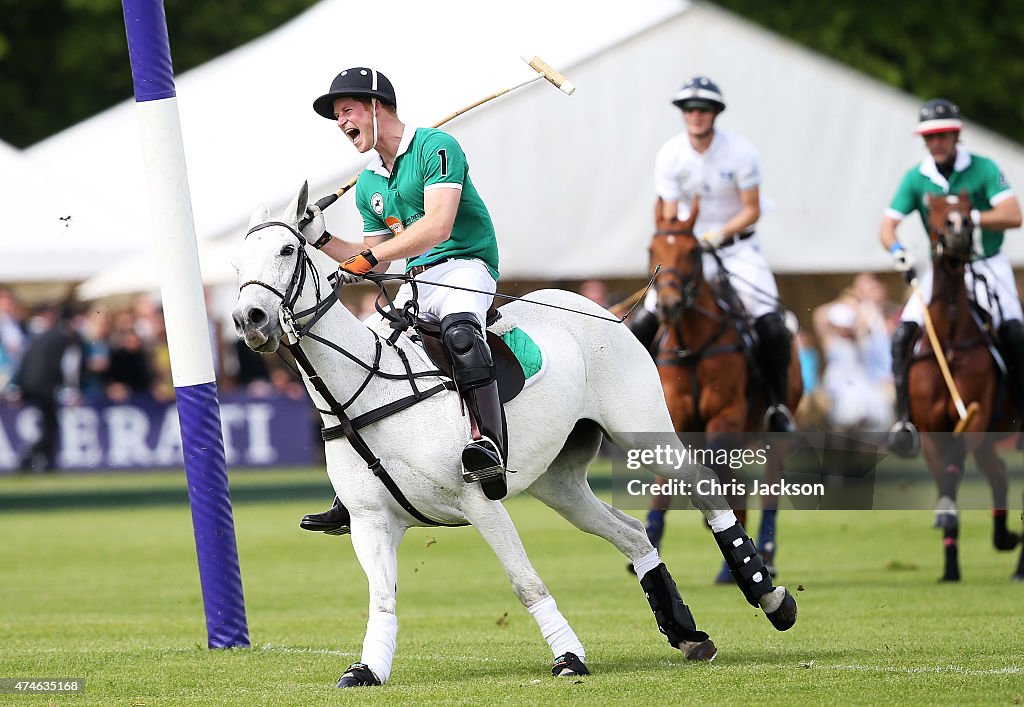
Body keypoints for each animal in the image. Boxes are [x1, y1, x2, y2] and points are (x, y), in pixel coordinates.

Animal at [643, 203, 802, 577]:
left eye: (692, 251)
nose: (667, 305)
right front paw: (653, 536)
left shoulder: (725, 414)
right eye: (651, 251)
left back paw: (765, 550)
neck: (692, 345)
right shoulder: (676, 415)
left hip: (775, 428)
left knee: (769, 483)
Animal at [909, 188, 1019, 577]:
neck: (952, 340)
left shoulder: (974, 416)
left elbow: (954, 464)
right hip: (988, 443)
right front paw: (950, 569)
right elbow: (945, 478)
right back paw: (1004, 538)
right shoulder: (928, 428)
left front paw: (946, 514)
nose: (958, 229)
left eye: (969, 211)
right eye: (935, 210)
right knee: (999, 475)